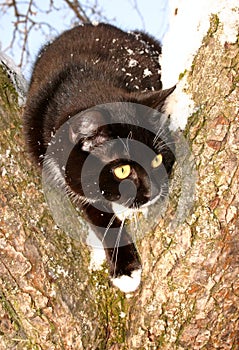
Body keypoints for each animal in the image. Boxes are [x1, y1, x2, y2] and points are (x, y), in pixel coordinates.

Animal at [23, 22, 175, 292]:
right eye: (122, 170)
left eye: (157, 159)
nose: (153, 191)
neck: (84, 81)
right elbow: (95, 209)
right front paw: (126, 270)